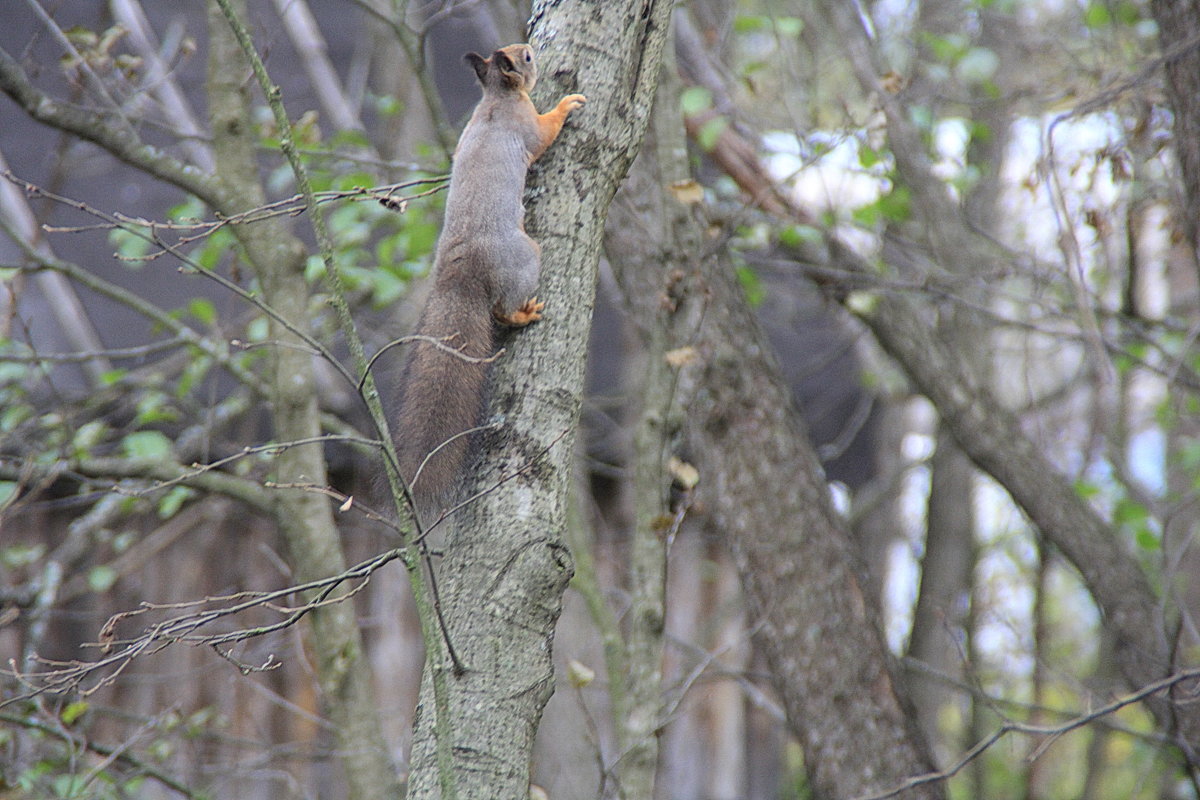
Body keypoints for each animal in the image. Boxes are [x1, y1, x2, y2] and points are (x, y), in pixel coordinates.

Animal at [393, 43, 585, 525]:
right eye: (528, 57)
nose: (533, 49)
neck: (497, 98)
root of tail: (459, 275)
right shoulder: (526, 128)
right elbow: (545, 133)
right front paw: (567, 104)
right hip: (525, 258)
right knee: (502, 308)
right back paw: (524, 312)